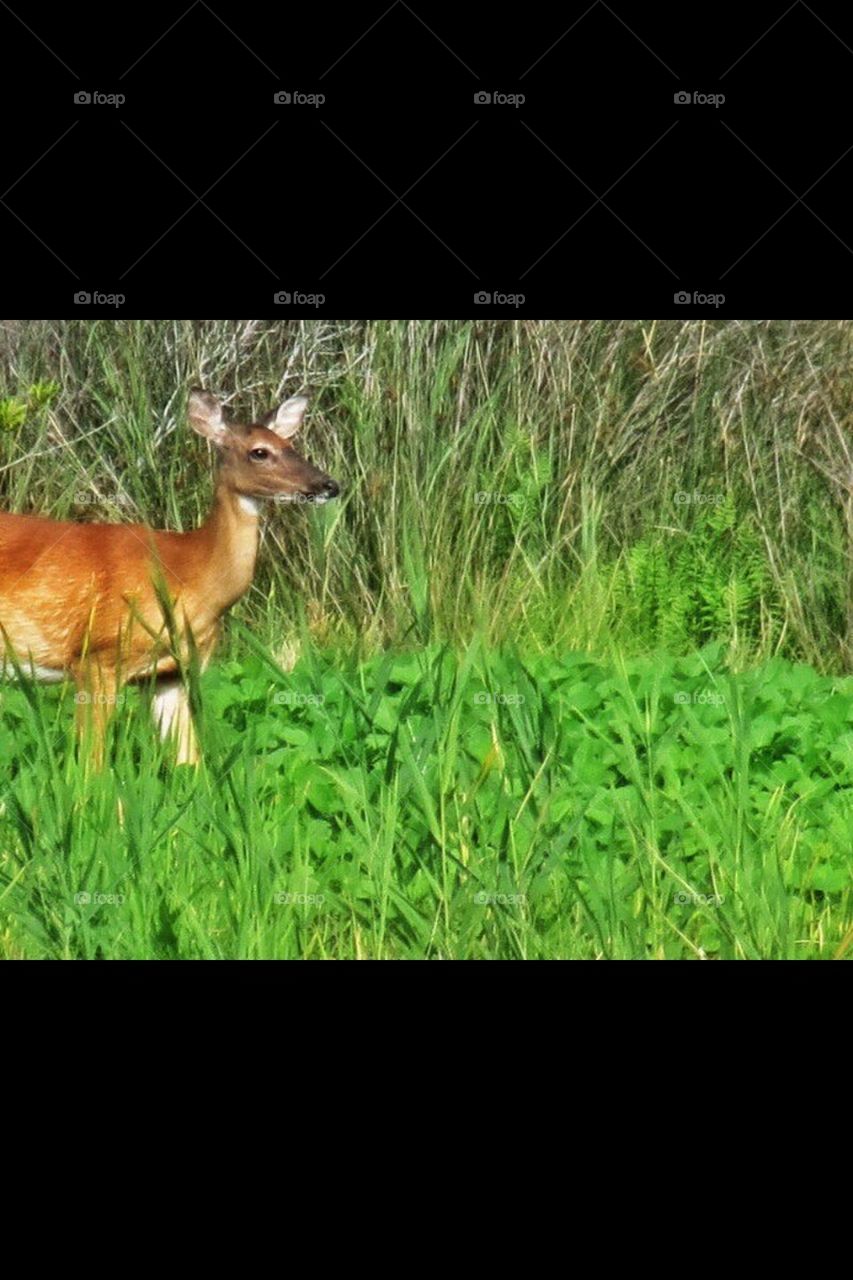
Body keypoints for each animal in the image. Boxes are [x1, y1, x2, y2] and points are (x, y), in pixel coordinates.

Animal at [0, 389, 340, 766]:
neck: (189, 576)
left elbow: (191, 762)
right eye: (260, 452)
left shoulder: (170, 672)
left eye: (291, 445)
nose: (328, 485)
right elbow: (92, 764)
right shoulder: (96, 657)